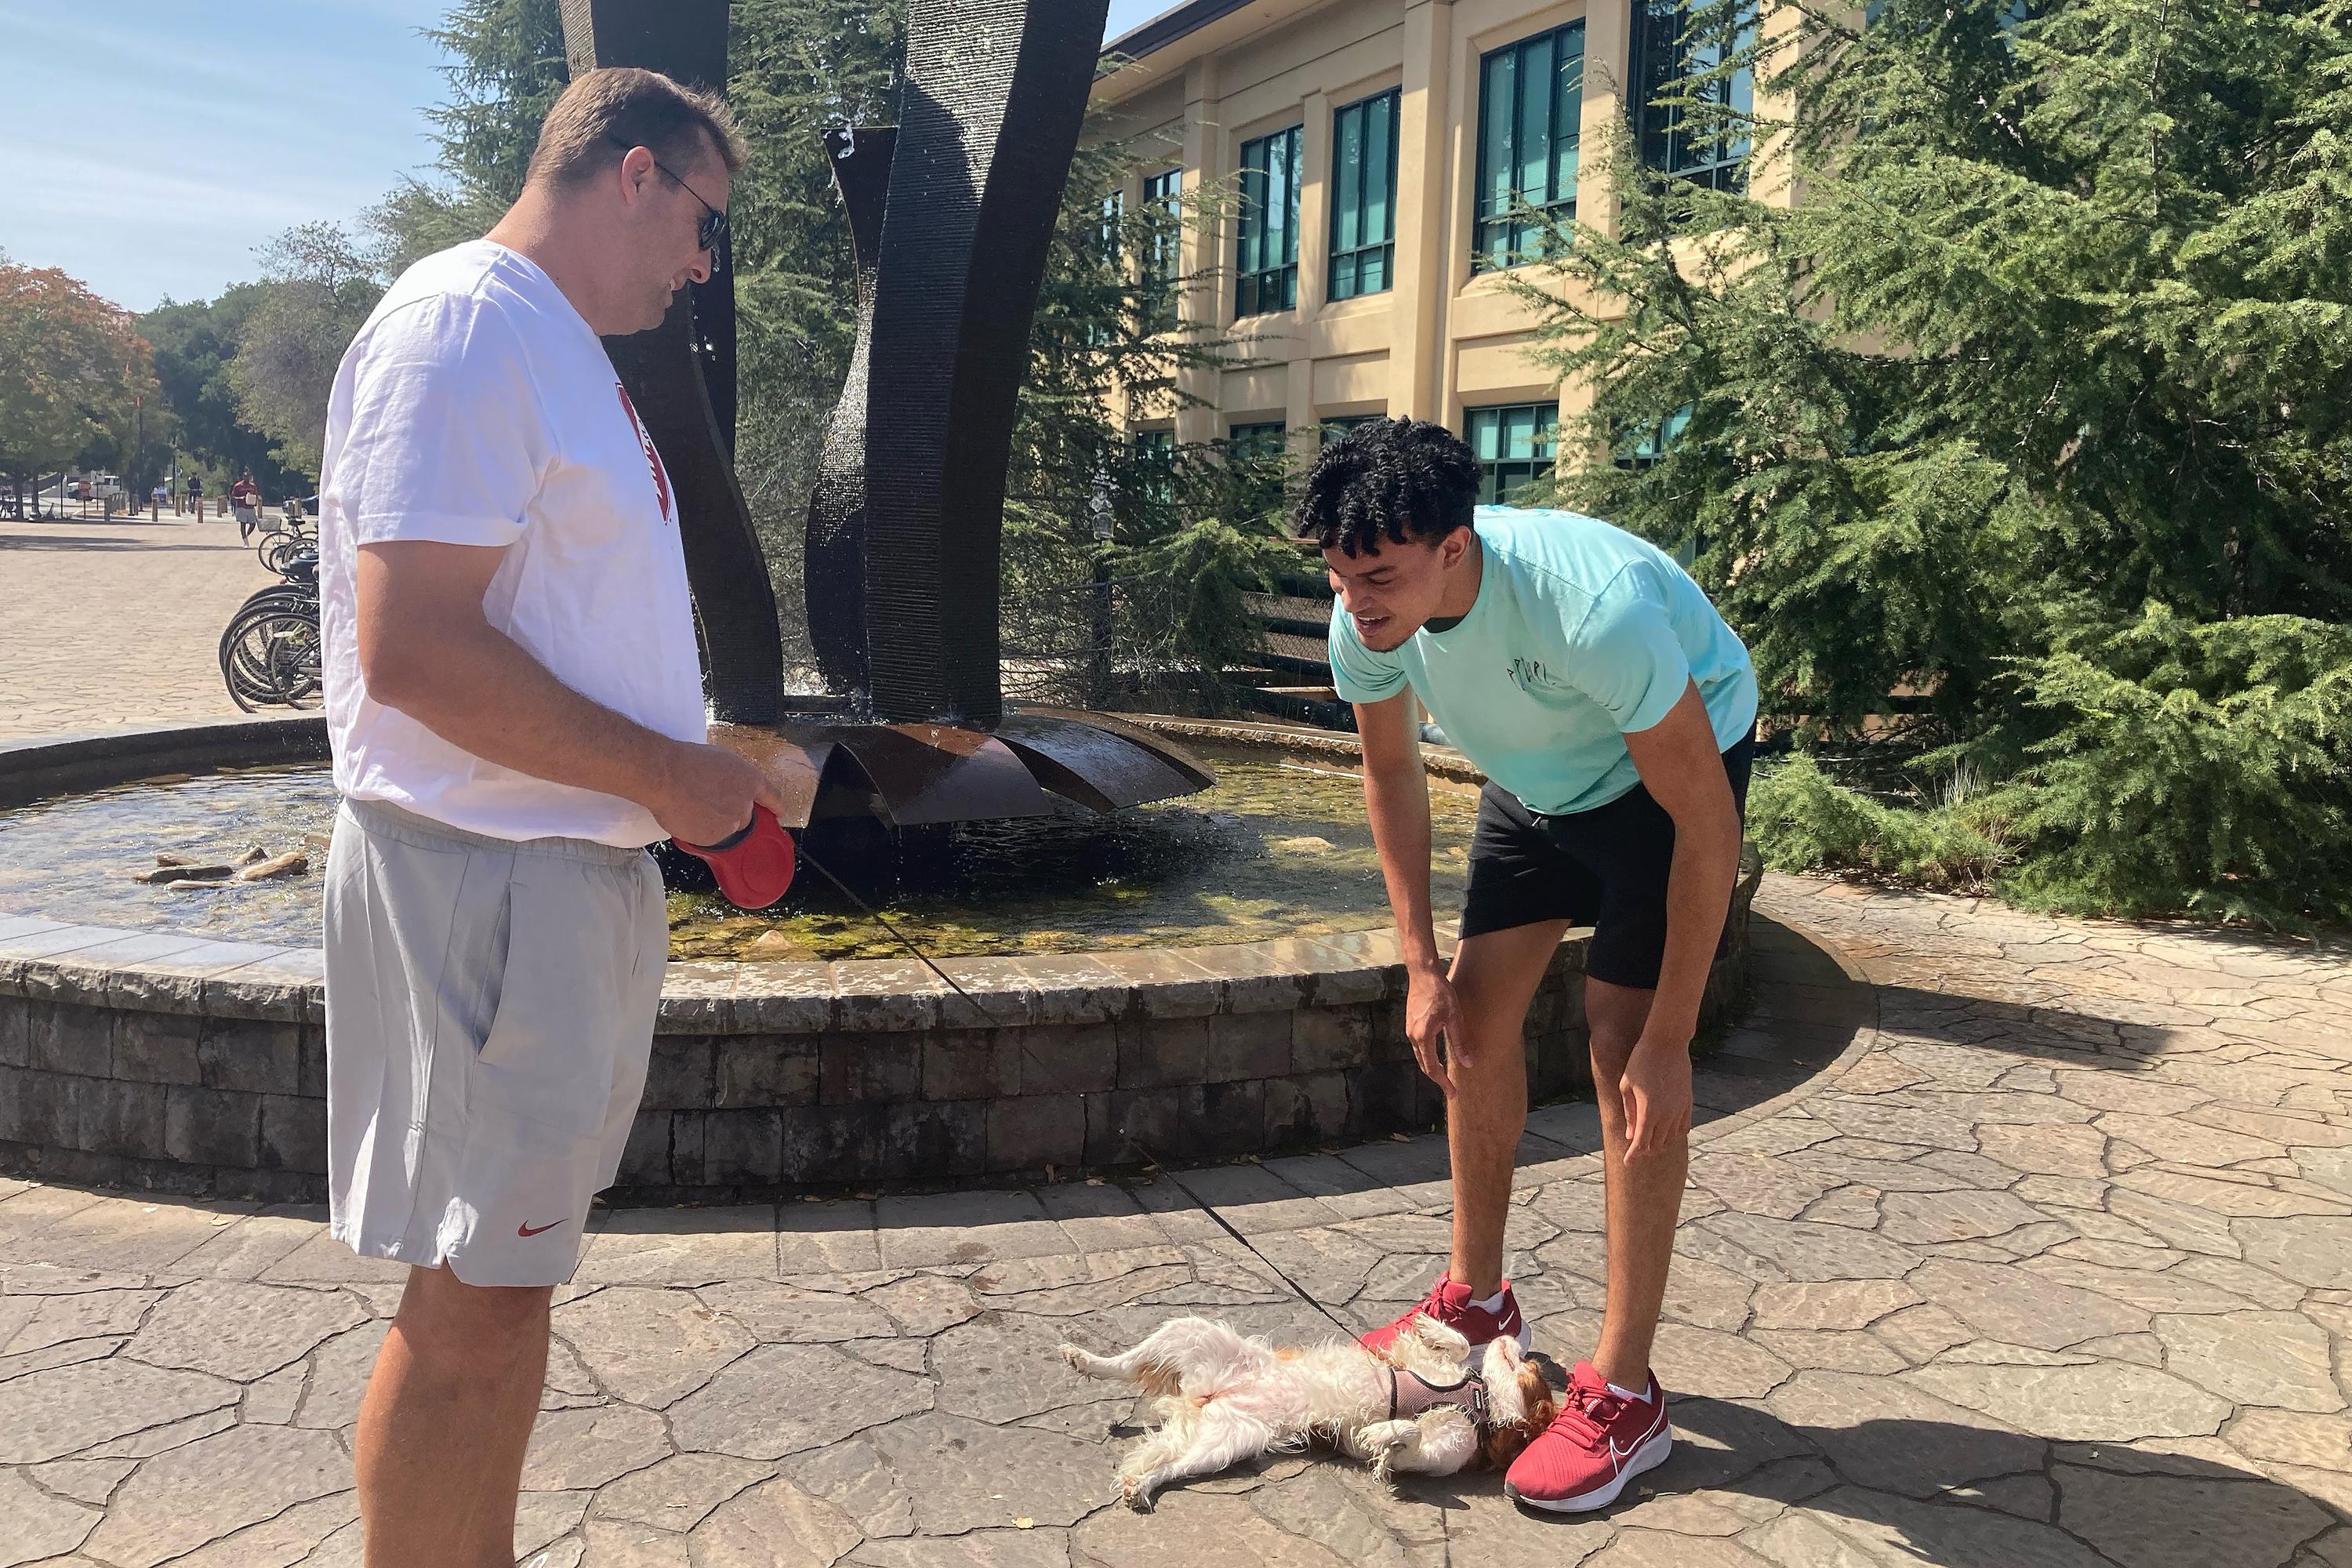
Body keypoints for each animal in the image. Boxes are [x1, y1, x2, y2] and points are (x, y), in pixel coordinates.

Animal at [1063, 1316, 1543, 1514]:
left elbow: (1406, 1441)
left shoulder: (1439, 1456)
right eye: (1530, 1366)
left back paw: (1140, 1484)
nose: (1512, 1338)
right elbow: (1458, 1345)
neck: (1475, 1398)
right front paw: (1433, 1325)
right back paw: (1084, 1359)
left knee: (1169, 1466)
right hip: (1193, 1332)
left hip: (1222, 1444)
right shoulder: (1413, 1362)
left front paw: (1383, 1435)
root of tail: (1202, 1396)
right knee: (1123, 1365)